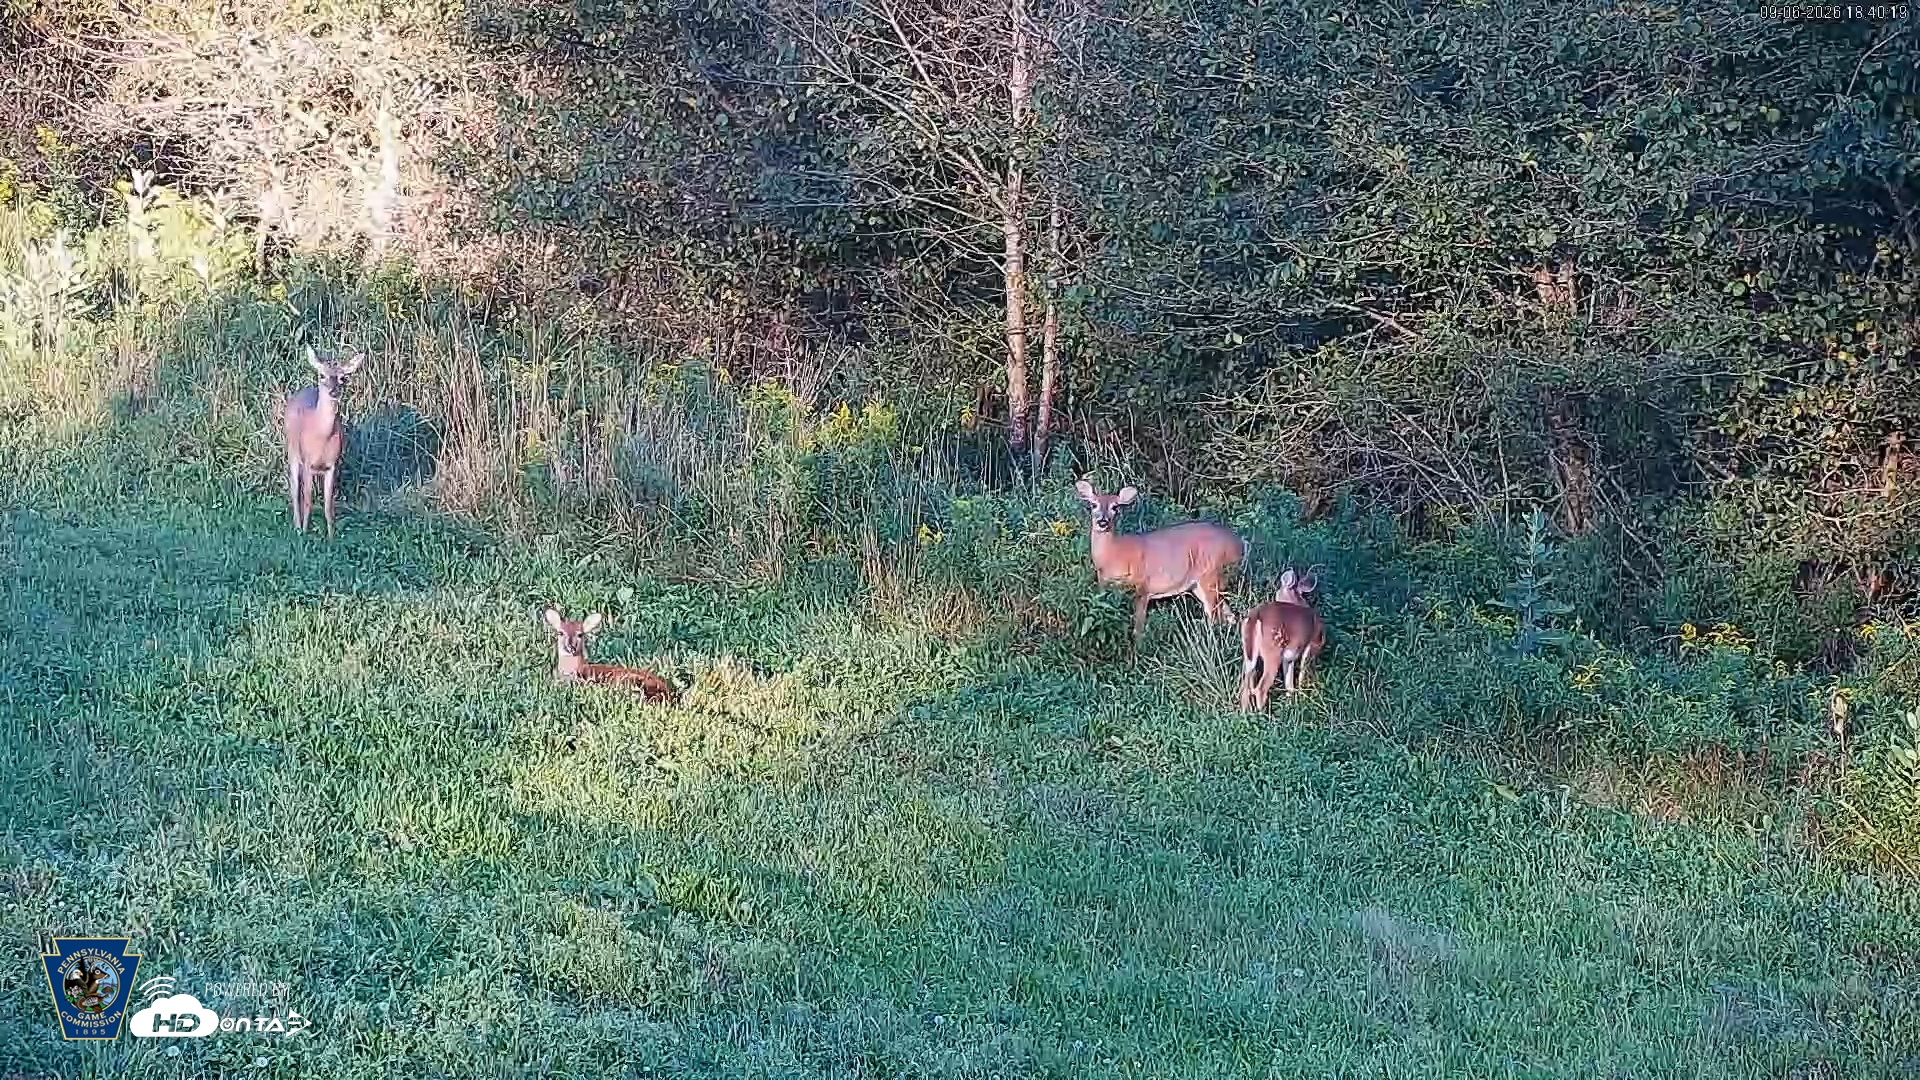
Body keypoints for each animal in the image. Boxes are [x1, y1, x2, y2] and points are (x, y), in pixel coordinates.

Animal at [282, 346, 364, 539]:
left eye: (343, 378)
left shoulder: (332, 465)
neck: (322, 436)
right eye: (322, 375)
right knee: (294, 490)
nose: (334, 391)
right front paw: (304, 533)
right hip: (292, 453)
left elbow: (328, 505)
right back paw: (297, 527)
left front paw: (331, 537)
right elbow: (307, 501)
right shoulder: (307, 463)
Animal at [1074, 480, 1246, 652]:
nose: (1102, 522)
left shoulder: (1142, 587)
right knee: (1230, 617)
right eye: (1093, 504)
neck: (1114, 554)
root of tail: (1239, 545)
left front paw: (1138, 652)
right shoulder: (1104, 586)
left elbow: (1138, 629)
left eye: (1115, 507)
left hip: (1211, 576)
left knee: (1215, 619)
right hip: (1203, 585)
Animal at [1239, 567, 1326, 711]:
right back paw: (1263, 714)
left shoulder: (1289, 657)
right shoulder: (1312, 645)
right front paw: (1303, 696)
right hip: (1273, 650)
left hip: (1248, 652)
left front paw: (1292, 704)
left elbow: (1289, 683)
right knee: (1260, 688)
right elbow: (1302, 672)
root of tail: (1255, 616)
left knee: (1246, 686)